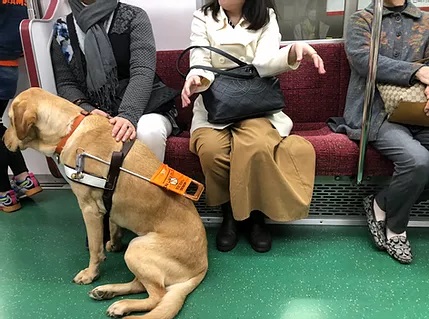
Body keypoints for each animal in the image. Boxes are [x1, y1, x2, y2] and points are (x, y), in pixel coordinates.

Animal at [3, 87, 207, 319]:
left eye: (10, 120)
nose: (3, 140)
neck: (70, 130)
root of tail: (201, 268)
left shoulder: (89, 209)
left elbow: (94, 248)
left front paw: (91, 273)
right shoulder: (108, 203)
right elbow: (113, 223)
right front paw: (114, 243)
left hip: (137, 249)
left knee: (157, 296)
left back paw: (122, 305)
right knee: (140, 286)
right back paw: (108, 293)